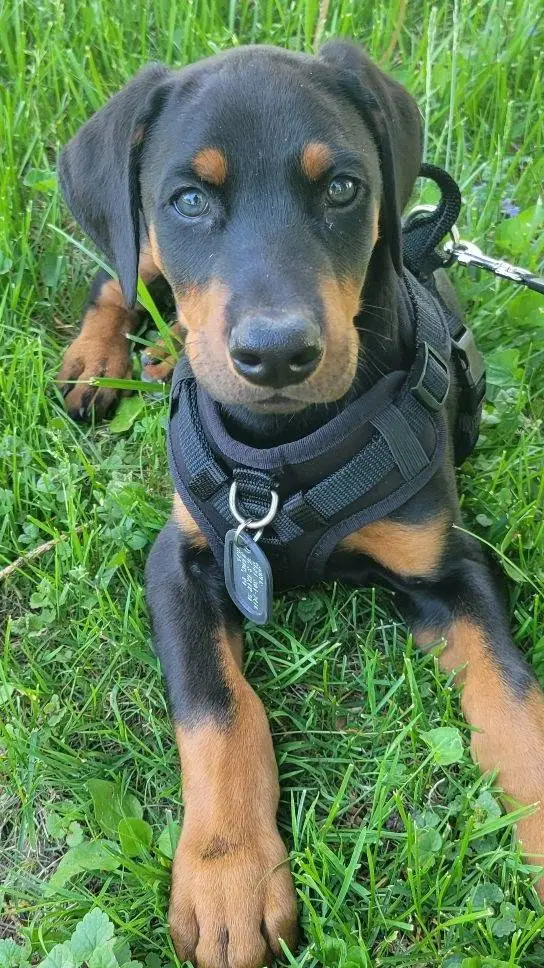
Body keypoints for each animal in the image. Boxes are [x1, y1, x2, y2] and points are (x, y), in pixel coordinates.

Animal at [57, 41, 544, 968]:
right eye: (189, 199)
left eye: (344, 187)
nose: (278, 354)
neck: (279, 462)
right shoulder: (181, 557)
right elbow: (218, 707)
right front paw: (230, 875)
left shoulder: (451, 562)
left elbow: (511, 695)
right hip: (136, 246)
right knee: (122, 275)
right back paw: (100, 361)